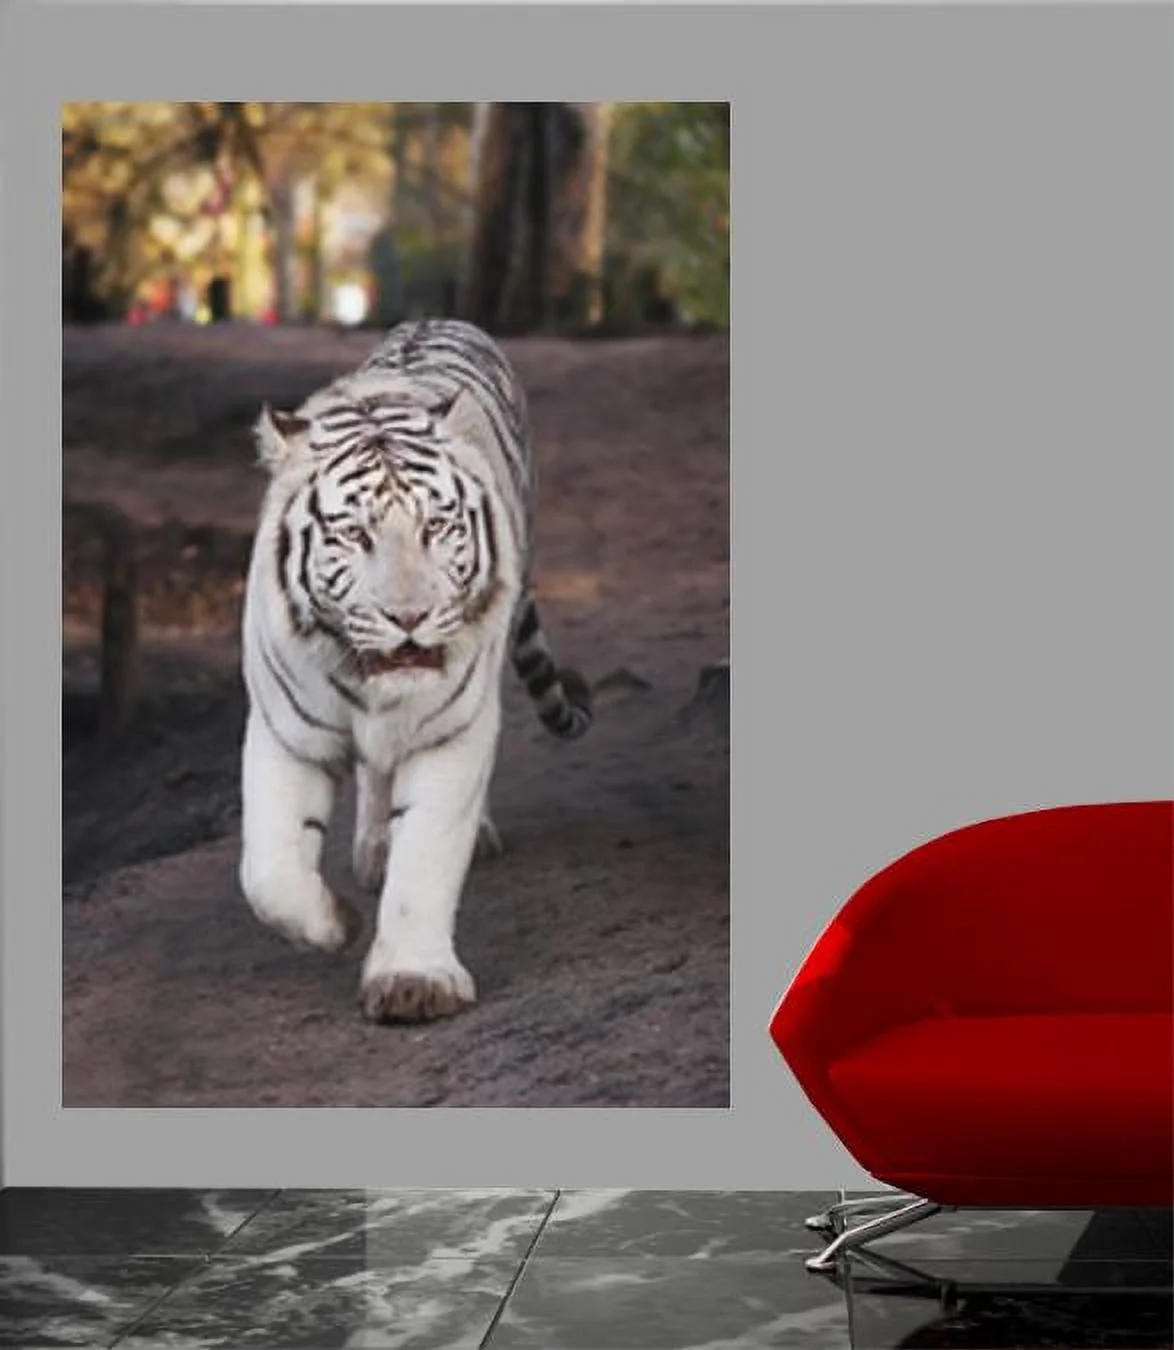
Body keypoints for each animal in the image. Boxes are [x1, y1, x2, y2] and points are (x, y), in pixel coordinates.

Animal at [238, 318, 592, 1025]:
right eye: (353, 535)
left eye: (438, 526)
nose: (410, 617)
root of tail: (437, 320)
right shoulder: (285, 733)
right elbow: (268, 871)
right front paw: (335, 922)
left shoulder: (449, 734)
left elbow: (426, 856)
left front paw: (413, 981)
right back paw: (373, 852)